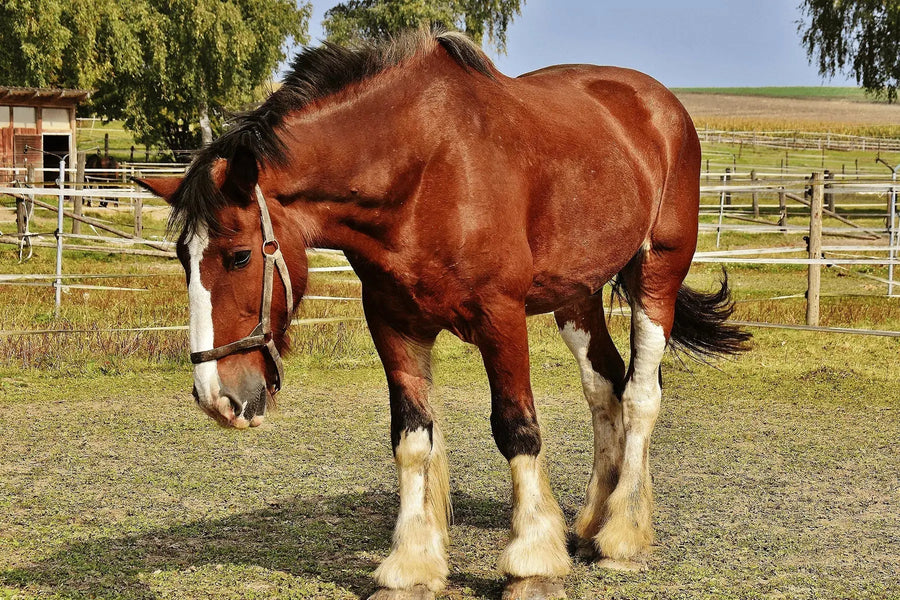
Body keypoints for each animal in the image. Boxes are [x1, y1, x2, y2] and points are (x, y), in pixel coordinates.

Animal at [136, 30, 750, 600]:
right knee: (604, 387)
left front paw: (531, 563)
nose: (217, 397)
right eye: (183, 257)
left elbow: (517, 430)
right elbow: (411, 439)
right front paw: (411, 566)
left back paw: (622, 536)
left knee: (641, 394)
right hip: (576, 295)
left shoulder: (501, 318)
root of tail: (660, 105)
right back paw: (590, 525)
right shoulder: (394, 324)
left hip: (656, 275)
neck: (423, 170)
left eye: (239, 255)